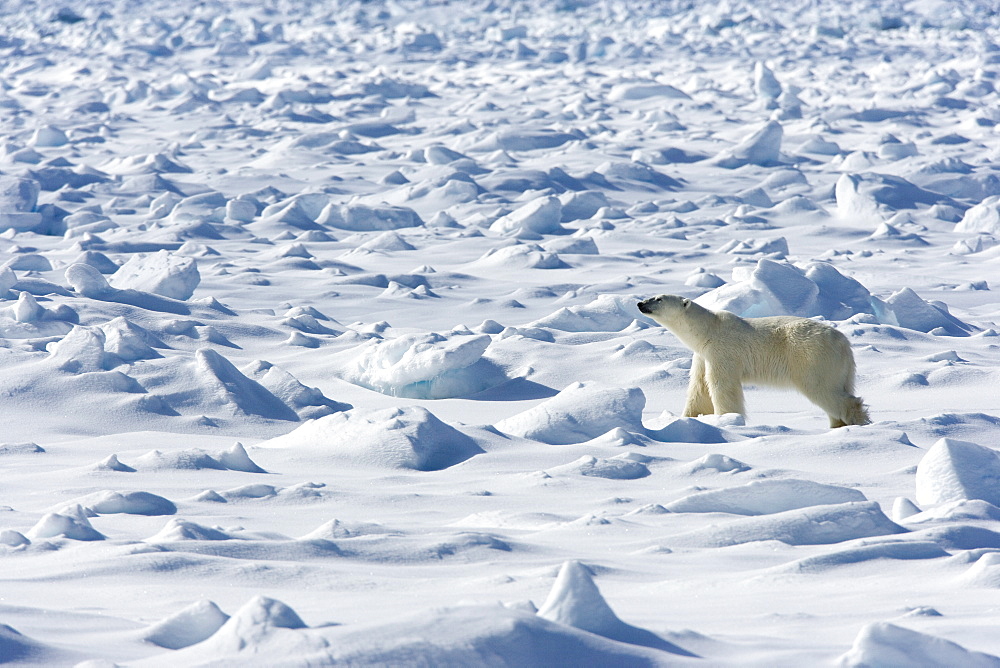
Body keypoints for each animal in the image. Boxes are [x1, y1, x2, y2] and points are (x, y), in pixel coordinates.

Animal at [640, 296, 868, 428]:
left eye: (658, 299)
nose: (640, 303)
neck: (708, 330)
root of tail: (844, 343)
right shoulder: (702, 356)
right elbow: (699, 388)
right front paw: (689, 418)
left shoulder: (723, 351)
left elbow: (721, 386)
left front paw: (726, 419)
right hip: (839, 366)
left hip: (813, 357)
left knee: (823, 388)